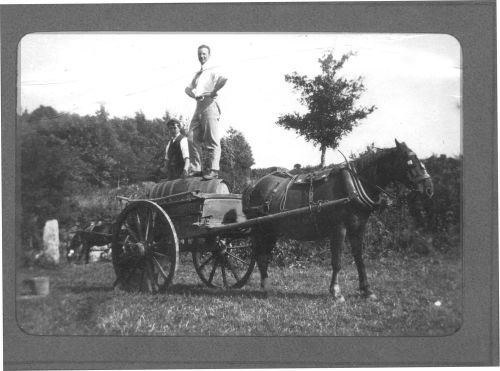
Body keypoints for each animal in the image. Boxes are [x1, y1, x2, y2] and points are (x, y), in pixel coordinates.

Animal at [242, 140, 434, 302]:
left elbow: (359, 258)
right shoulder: (339, 228)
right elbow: (337, 261)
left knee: (263, 256)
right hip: (261, 230)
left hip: (271, 231)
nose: (429, 189)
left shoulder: (358, 228)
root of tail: (255, 185)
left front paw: (367, 290)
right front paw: (336, 292)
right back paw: (267, 288)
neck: (352, 187)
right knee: (261, 257)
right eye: (410, 162)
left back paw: (265, 286)